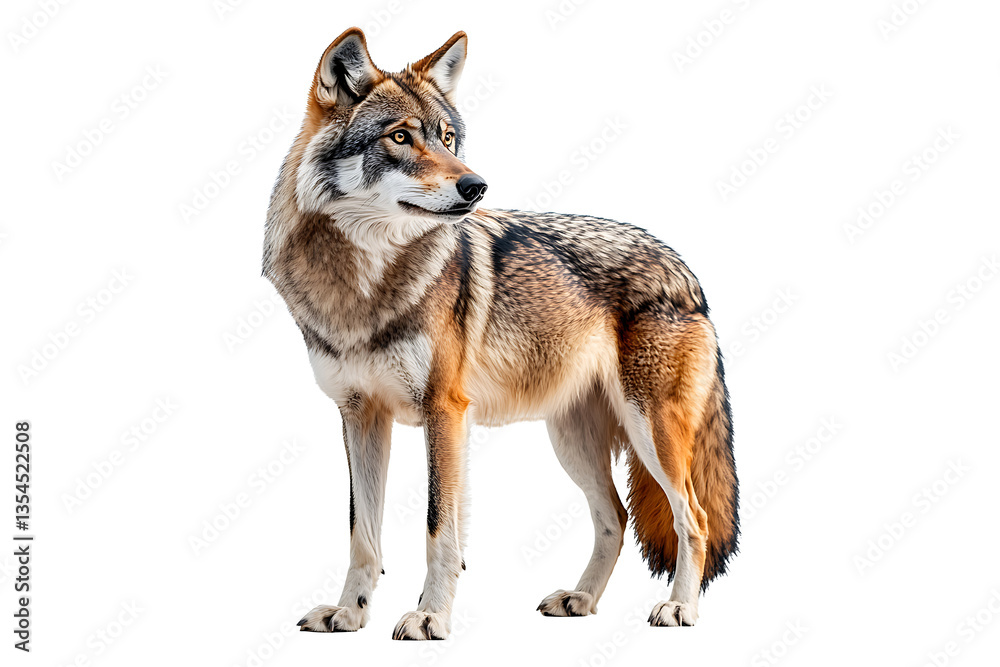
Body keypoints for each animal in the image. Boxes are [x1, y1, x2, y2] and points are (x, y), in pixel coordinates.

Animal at [263, 28, 738, 640]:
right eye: (400, 137)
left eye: (447, 138)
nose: (476, 185)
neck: (363, 285)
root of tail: (686, 270)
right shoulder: (359, 414)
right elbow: (361, 534)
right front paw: (350, 613)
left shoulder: (445, 411)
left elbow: (439, 528)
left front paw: (430, 616)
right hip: (572, 441)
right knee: (616, 517)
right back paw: (581, 600)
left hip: (649, 431)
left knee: (693, 518)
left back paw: (679, 608)